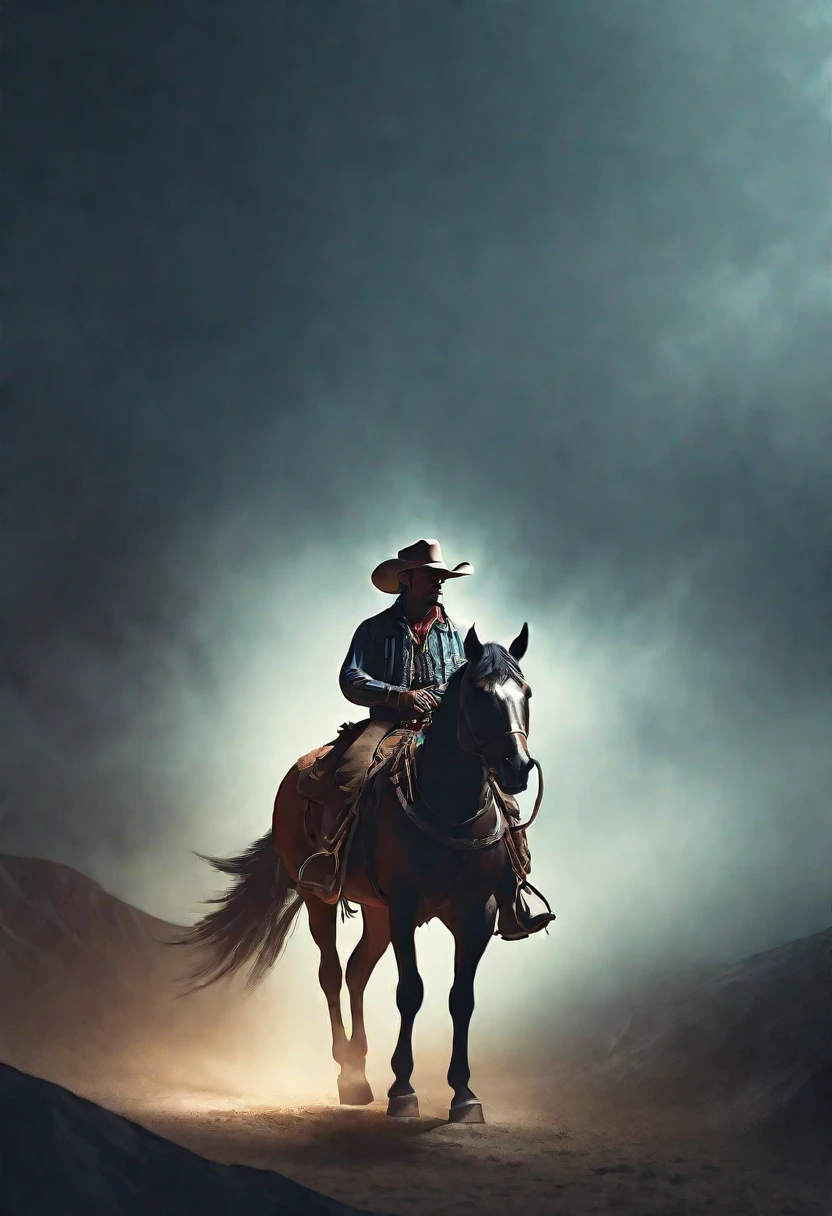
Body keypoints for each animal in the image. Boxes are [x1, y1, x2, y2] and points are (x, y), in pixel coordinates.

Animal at [180, 622, 544, 1123]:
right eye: (480, 693)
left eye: (526, 692)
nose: (518, 767)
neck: (451, 808)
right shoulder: (406, 907)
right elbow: (410, 991)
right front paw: (403, 1090)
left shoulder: (478, 914)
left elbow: (461, 998)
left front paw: (464, 1094)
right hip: (322, 899)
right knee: (332, 972)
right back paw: (348, 1076)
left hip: (376, 912)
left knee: (356, 971)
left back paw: (358, 1065)